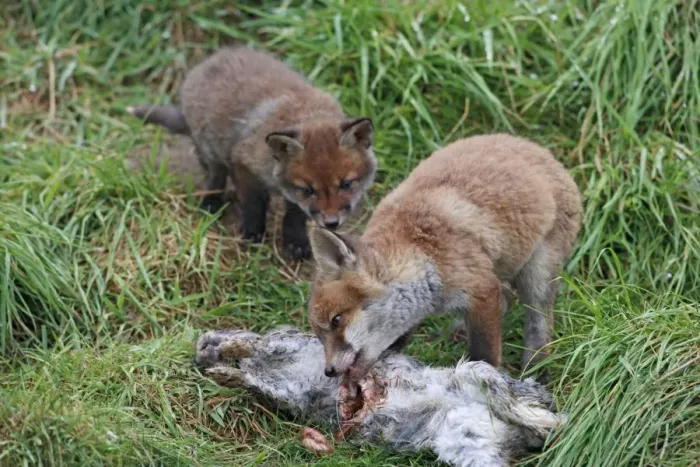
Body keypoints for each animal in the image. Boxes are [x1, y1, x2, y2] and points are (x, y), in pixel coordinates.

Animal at [129, 47, 376, 259]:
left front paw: (295, 241)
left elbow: (294, 215)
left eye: (346, 184)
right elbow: (253, 203)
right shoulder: (242, 162)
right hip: (210, 149)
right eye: (308, 190)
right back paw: (211, 202)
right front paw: (252, 231)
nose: (331, 223)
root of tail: (216, 55)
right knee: (214, 174)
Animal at [307, 133, 582, 382]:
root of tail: (537, 148)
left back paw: (537, 370)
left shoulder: (481, 288)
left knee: (538, 324)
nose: (328, 371)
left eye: (336, 320)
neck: (422, 253)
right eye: (319, 334)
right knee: (506, 300)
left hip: (538, 275)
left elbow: (485, 355)